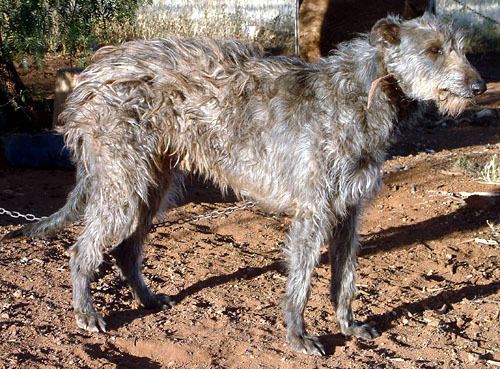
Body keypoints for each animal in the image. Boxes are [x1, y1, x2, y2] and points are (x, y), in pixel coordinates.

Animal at [8, 13, 484, 354]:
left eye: (462, 49)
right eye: (434, 50)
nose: (480, 86)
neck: (364, 89)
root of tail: (91, 75)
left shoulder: (348, 211)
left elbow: (345, 273)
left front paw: (347, 324)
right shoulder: (314, 210)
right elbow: (302, 279)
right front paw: (298, 336)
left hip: (152, 186)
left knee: (126, 249)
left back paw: (148, 299)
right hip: (125, 183)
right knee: (81, 250)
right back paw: (86, 313)